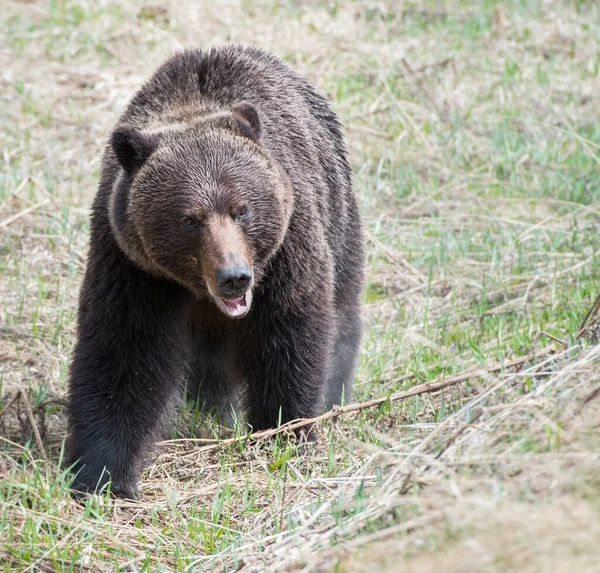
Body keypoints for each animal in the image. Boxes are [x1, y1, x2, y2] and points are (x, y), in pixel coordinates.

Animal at [67, 47, 364, 498]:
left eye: (241, 209)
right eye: (189, 219)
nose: (234, 276)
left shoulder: (286, 249)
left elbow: (289, 339)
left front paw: (283, 430)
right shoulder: (131, 265)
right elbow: (123, 352)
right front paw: (103, 474)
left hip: (338, 211)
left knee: (343, 312)